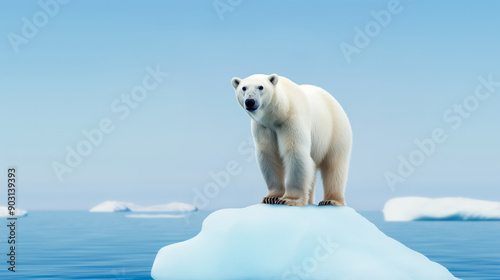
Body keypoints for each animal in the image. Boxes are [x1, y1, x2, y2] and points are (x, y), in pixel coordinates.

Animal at [231, 73, 352, 207]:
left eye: (261, 87)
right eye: (244, 88)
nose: (250, 101)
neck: (280, 111)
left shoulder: (291, 120)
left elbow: (295, 152)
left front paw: (289, 199)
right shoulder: (263, 127)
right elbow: (269, 155)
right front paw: (271, 198)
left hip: (335, 131)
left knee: (334, 164)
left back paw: (330, 200)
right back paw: (310, 201)